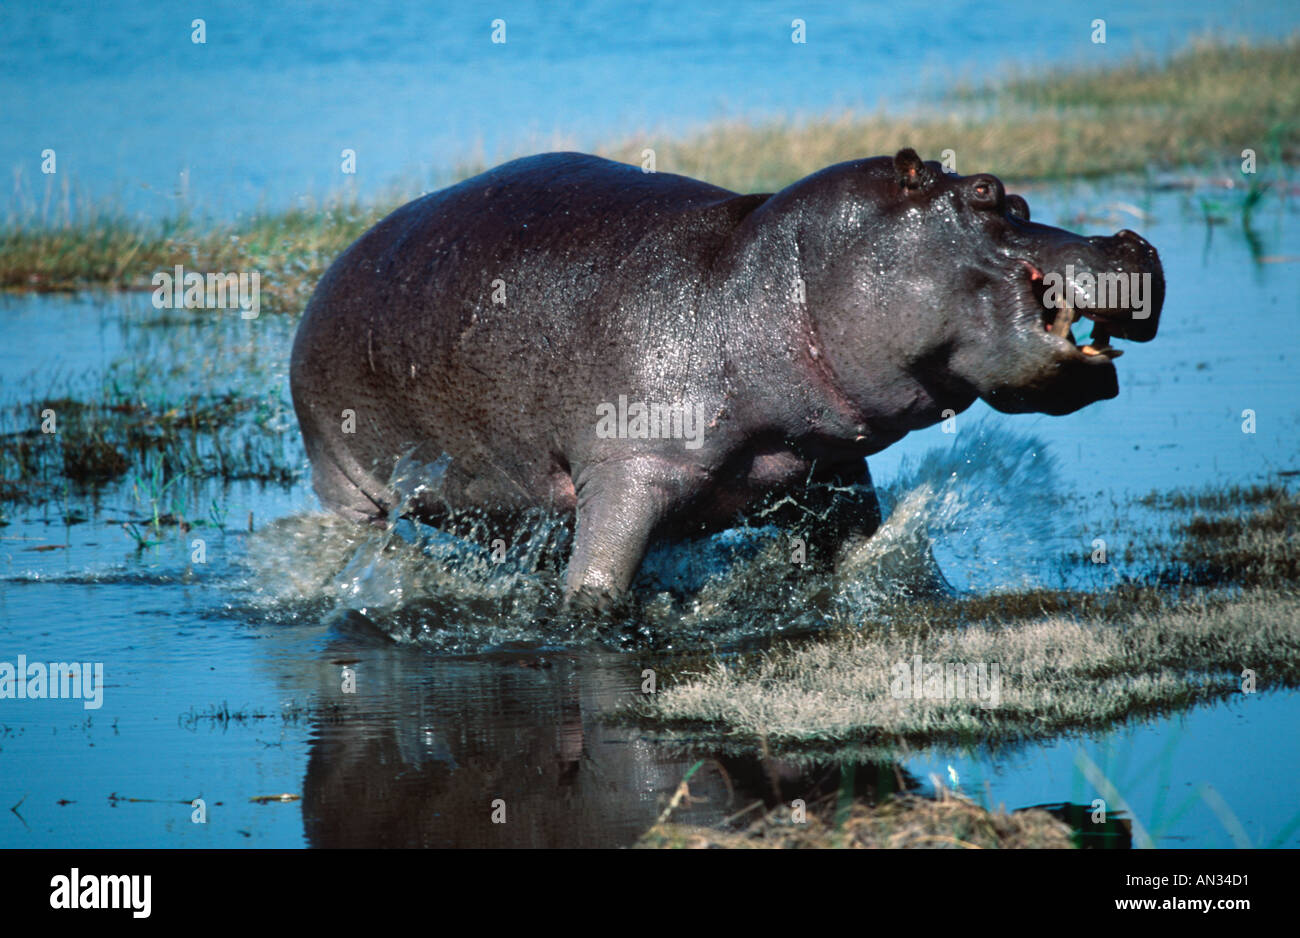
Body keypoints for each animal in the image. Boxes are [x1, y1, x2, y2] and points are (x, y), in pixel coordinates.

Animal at [290, 149, 1164, 607]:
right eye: (984, 193)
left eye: (1018, 200)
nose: (1130, 243)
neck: (759, 282)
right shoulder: (632, 468)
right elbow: (597, 588)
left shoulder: (831, 467)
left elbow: (867, 552)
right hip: (343, 483)